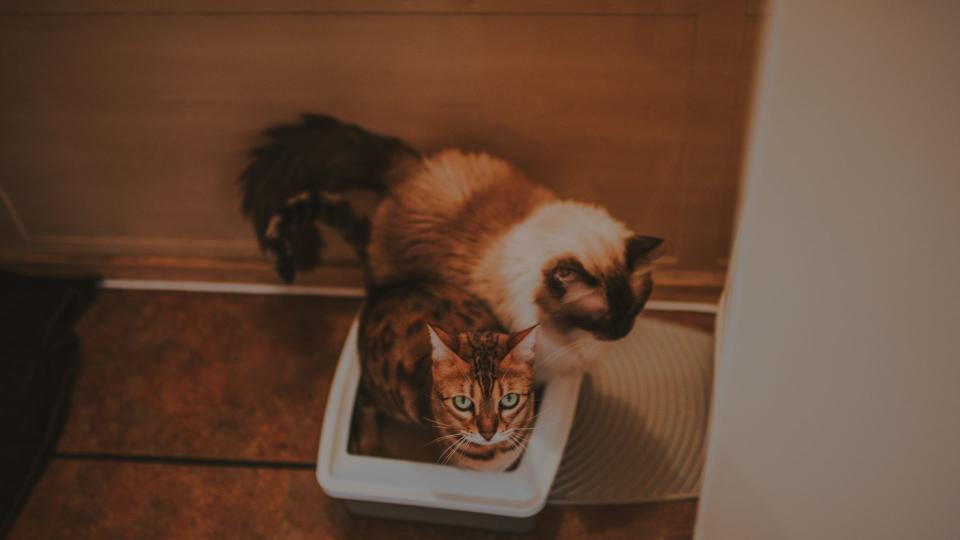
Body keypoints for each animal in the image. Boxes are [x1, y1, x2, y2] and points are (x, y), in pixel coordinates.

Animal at [360, 280, 540, 470]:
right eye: (462, 402)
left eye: (509, 399)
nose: (488, 434)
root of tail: (383, 291)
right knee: (364, 400)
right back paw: (370, 445)